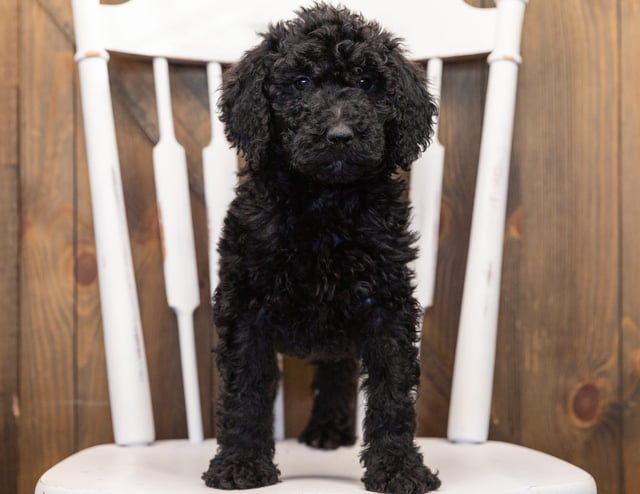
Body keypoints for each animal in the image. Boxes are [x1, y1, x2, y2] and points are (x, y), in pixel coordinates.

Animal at [204, 3, 440, 494]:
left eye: (368, 83)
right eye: (300, 83)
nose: (341, 134)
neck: (324, 204)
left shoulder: (387, 305)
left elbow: (392, 392)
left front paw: (398, 468)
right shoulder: (244, 306)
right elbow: (245, 389)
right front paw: (240, 463)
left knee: (338, 366)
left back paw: (330, 429)